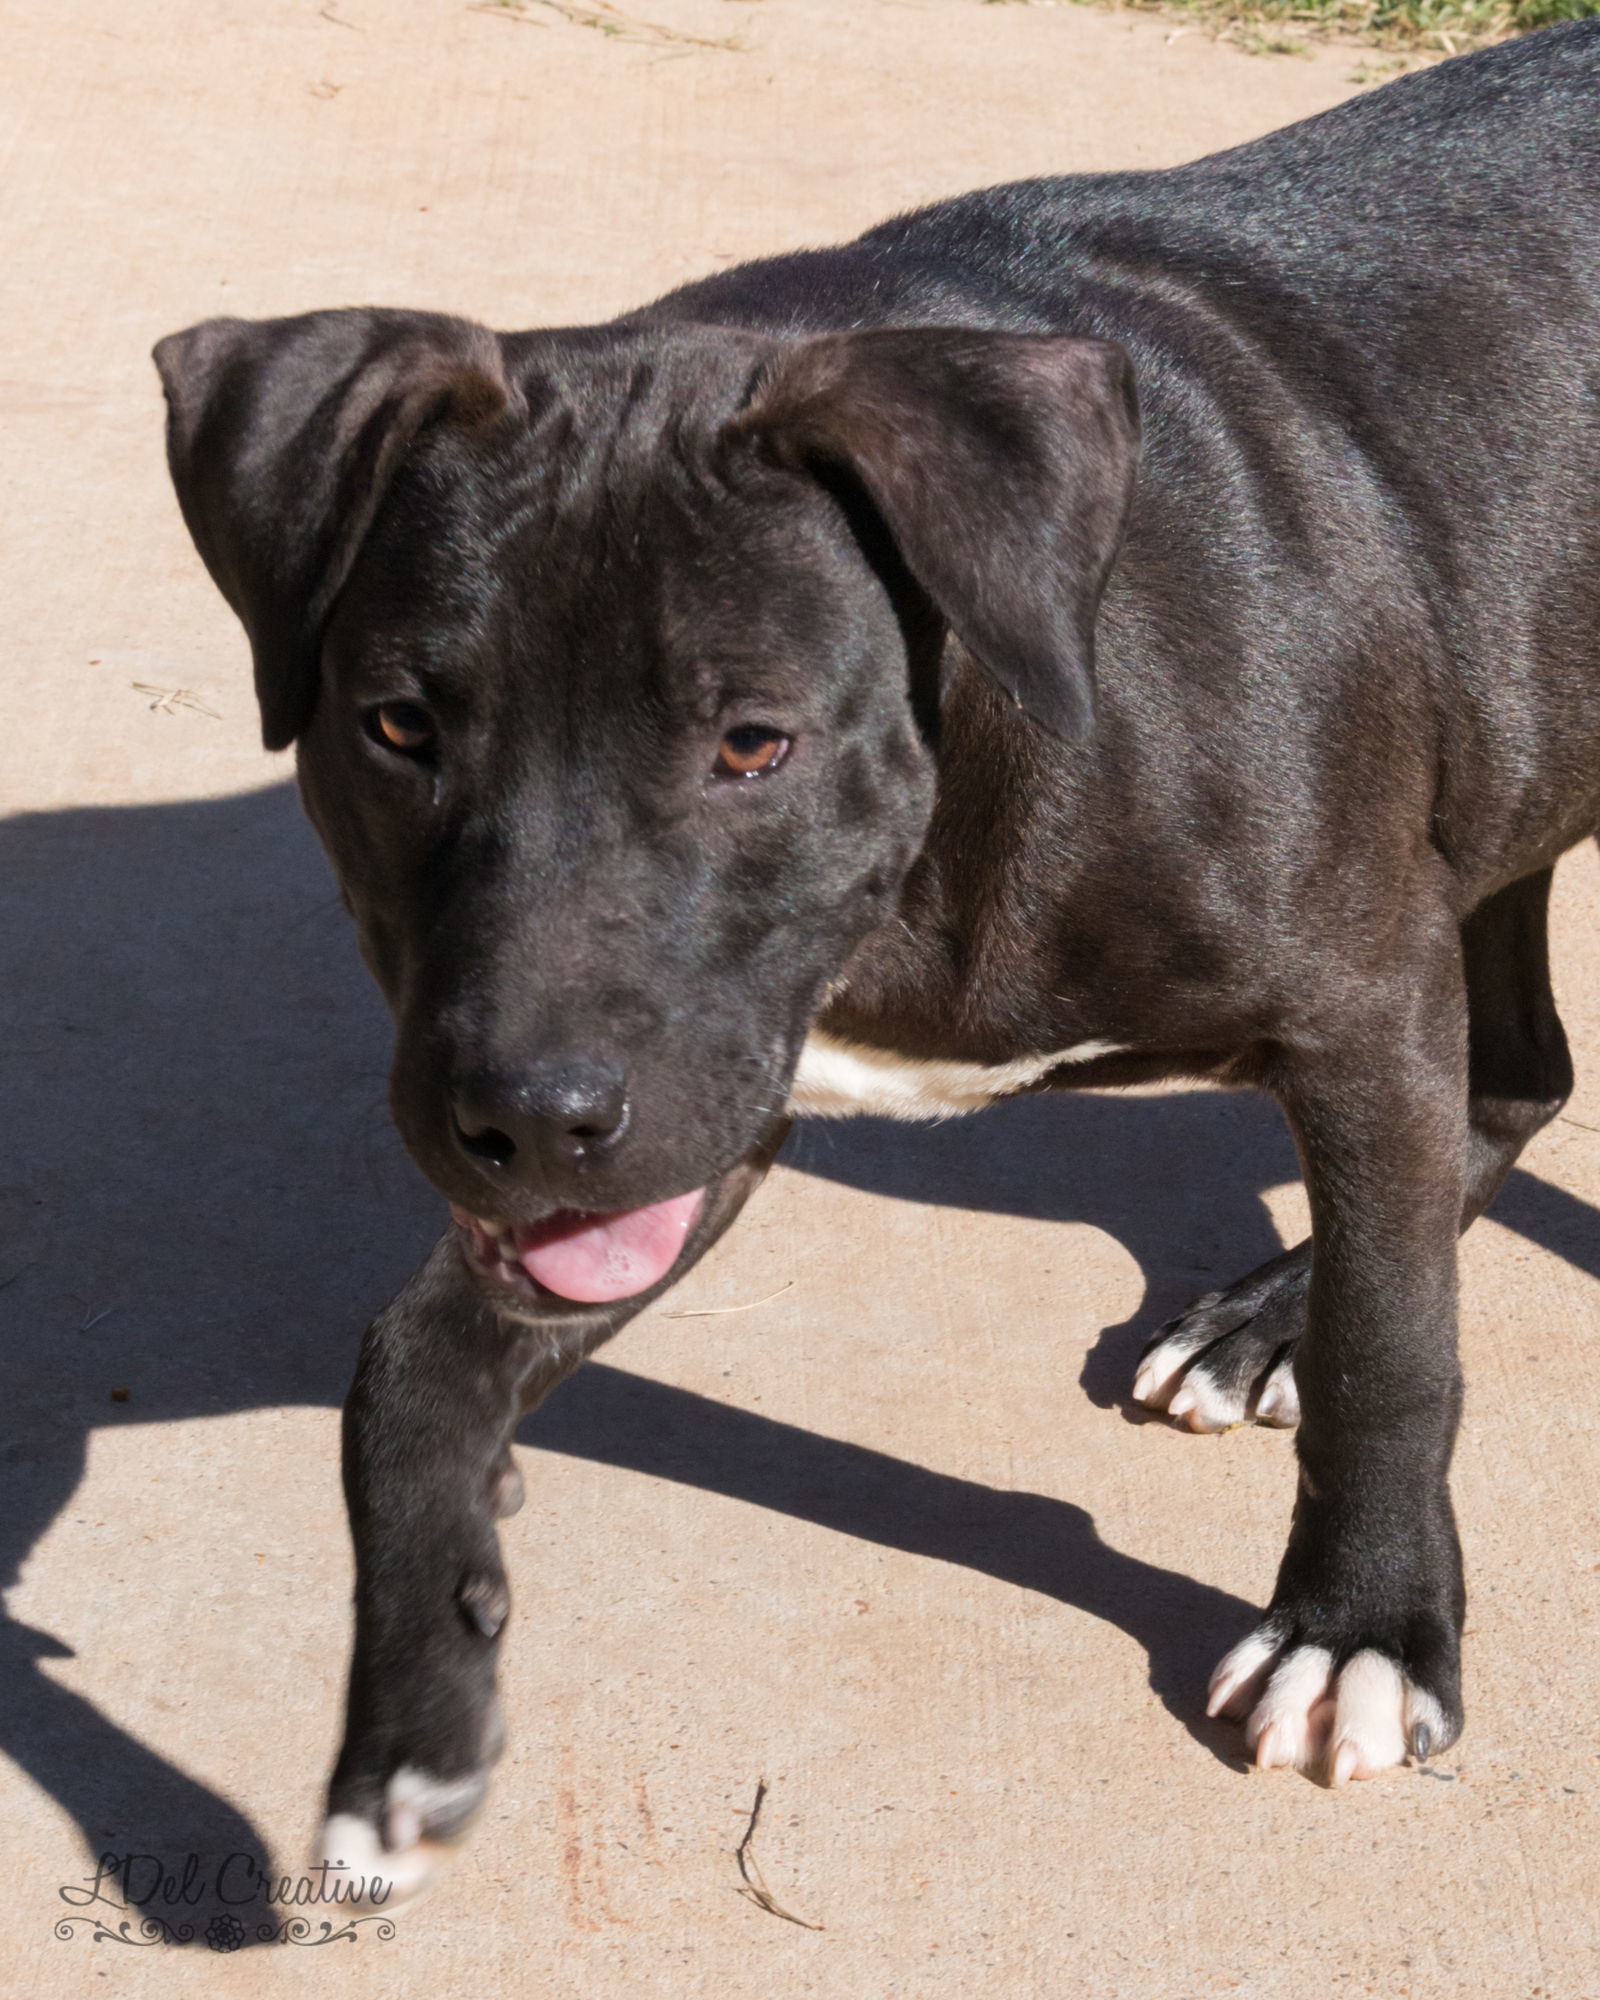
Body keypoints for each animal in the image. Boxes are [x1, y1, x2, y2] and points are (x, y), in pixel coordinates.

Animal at [153, 23, 1600, 1904]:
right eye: (395, 725)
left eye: (753, 743)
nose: (523, 1121)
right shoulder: (703, 1086)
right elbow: (411, 1368)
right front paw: (414, 1722)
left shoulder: (1359, 1006)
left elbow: (1397, 1340)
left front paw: (1363, 1627)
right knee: (1518, 1072)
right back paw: (1267, 1314)